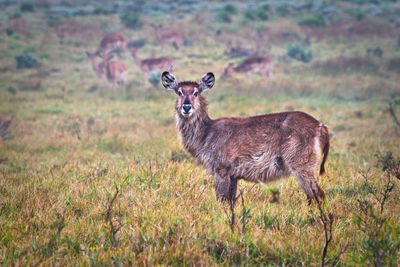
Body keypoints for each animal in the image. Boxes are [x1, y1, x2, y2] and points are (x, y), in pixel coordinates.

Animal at [161, 72, 330, 204]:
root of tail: (321, 126)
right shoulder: (233, 175)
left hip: (301, 165)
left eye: (196, 92)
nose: (186, 107)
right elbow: (231, 201)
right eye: (179, 92)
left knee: (318, 195)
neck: (207, 133)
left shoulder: (221, 169)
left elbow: (221, 200)